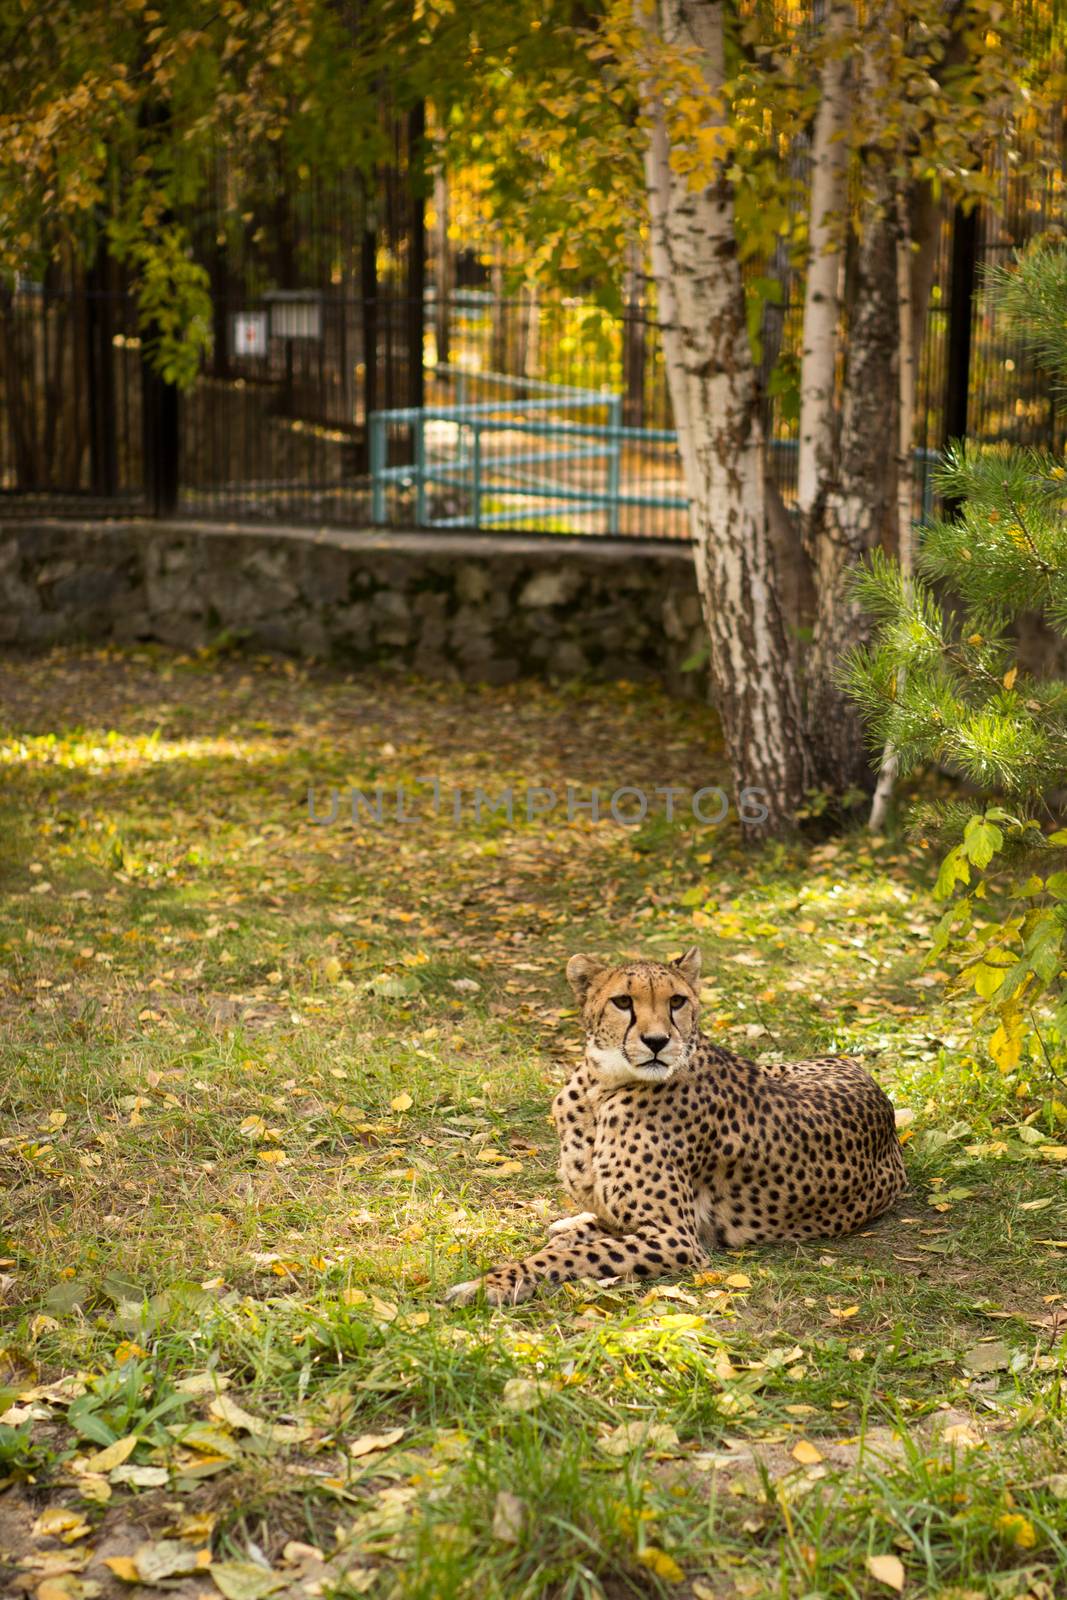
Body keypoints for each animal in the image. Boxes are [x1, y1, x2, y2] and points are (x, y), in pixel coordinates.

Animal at [447, 940, 908, 1305]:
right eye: (622, 1002)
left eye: (676, 1002)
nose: (657, 1041)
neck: (601, 1088)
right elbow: (596, 1227)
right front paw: (571, 1228)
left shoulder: (677, 1237)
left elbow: (572, 1256)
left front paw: (491, 1283)